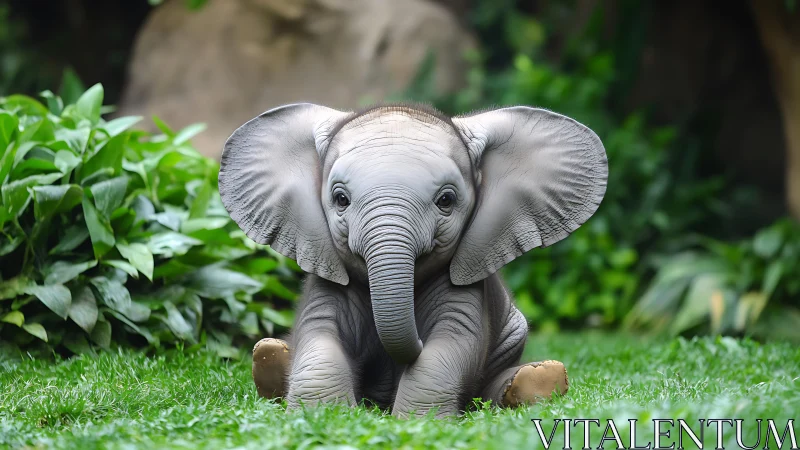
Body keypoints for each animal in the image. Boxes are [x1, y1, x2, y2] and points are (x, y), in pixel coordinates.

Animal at [218, 102, 608, 417]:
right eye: (340, 200)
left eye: (446, 201)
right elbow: (320, 336)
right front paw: (322, 417)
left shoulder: (467, 290)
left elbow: (450, 344)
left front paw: (419, 422)